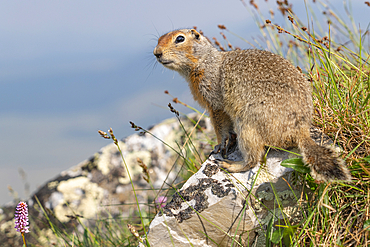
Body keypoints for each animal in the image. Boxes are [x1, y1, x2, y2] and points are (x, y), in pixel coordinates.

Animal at [153, 28, 350, 181]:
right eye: (158, 38)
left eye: (179, 38)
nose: (156, 52)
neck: (205, 62)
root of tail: (301, 131)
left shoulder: (214, 102)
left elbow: (220, 126)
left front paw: (218, 146)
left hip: (247, 126)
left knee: (254, 158)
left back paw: (231, 165)